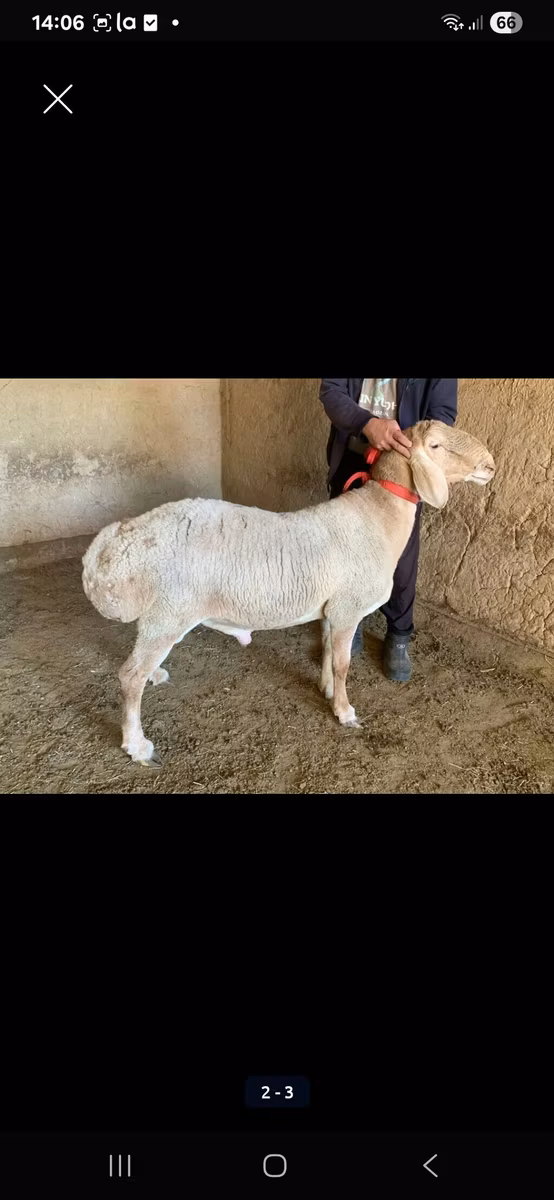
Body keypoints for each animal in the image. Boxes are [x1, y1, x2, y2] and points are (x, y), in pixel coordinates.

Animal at [82, 420, 495, 766]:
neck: (378, 519)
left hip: (160, 613)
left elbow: (328, 650)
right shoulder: (348, 607)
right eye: (436, 445)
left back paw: (157, 675)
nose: (491, 465)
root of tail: (120, 538)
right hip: (171, 609)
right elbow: (344, 664)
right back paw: (137, 746)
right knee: (129, 676)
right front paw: (344, 711)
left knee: (139, 661)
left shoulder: (332, 607)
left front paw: (326, 689)